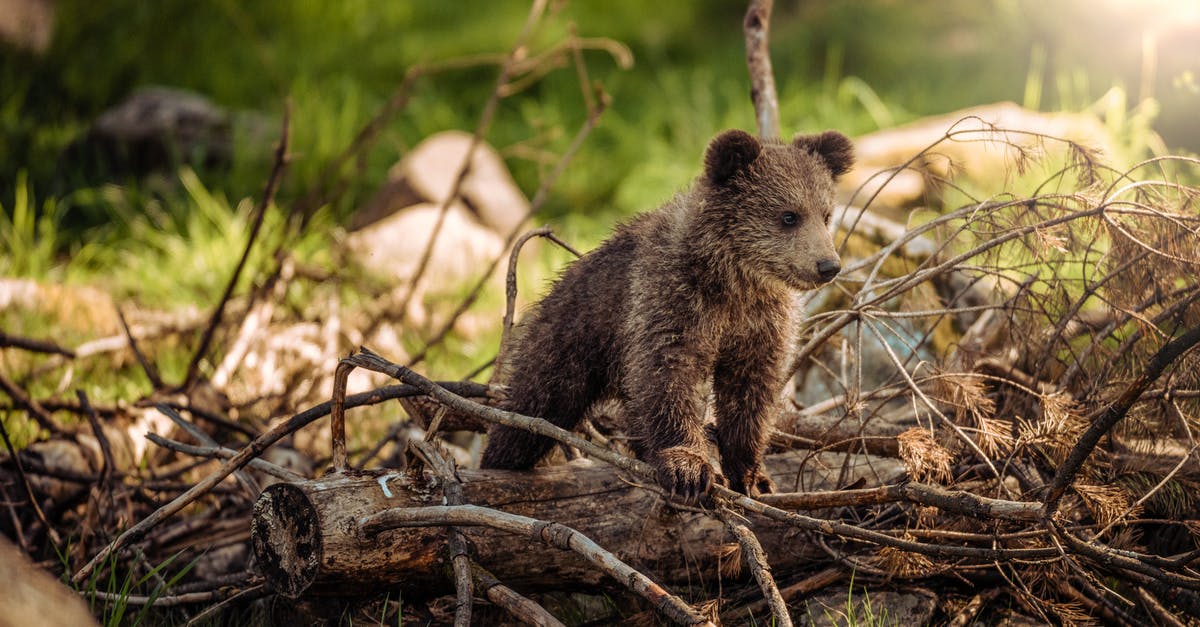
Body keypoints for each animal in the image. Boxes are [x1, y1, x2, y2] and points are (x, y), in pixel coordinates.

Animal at [480, 128, 854, 503]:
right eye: (789, 215)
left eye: (825, 214)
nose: (828, 265)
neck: (734, 281)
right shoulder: (671, 300)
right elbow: (668, 375)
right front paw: (688, 468)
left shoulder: (760, 323)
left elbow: (751, 390)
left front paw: (752, 475)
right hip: (570, 338)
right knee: (533, 407)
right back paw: (498, 461)